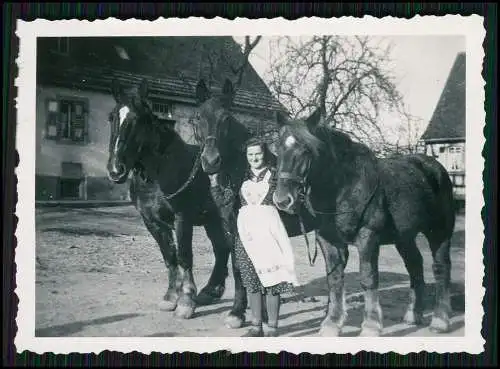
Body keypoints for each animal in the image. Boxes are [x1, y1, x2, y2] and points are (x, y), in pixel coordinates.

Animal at [106, 77, 247, 324]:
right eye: (112, 117)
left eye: (138, 120)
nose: (116, 170)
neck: (159, 172)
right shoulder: (152, 222)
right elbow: (169, 257)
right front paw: (171, 297)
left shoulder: (182, 218)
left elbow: (184, 257)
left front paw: (186, 302)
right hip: (213, 220)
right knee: (221, 249)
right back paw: (211, 291)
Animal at [272, 108, 456, 334]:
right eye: (277, 149)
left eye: (306, 150)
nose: (282, 200)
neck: (344, 187)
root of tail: (435, 167)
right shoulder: (328, 240)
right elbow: (334, 279)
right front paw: (332, 324)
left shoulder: (368, 236)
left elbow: (368, 278)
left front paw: (371, 325)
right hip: (404, 238)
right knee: (415, 266)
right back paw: (413, 316)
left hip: (439, 231)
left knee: (441, 268)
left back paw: (440, 320)